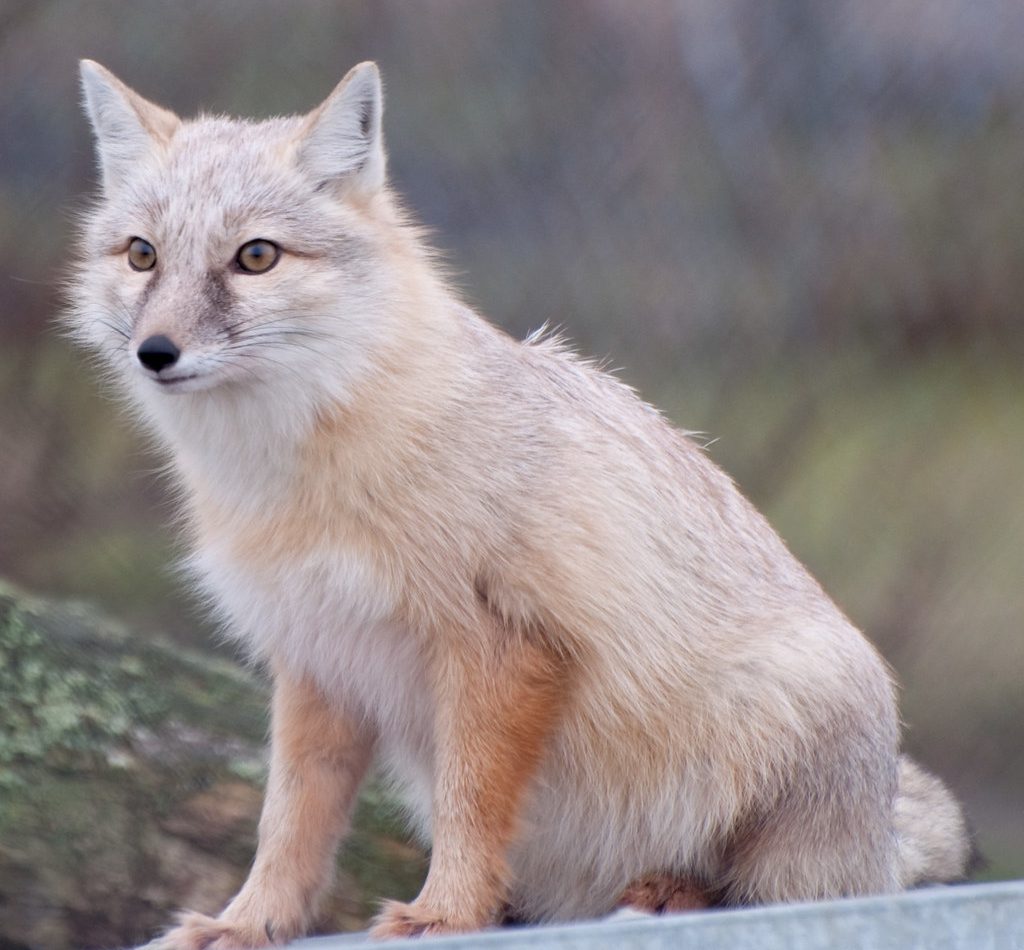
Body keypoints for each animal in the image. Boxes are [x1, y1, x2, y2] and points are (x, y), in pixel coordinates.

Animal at [69, 59, 973, 947]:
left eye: (255, 257)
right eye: (143, 255)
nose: (156, 352)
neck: (300, 477)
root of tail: (880, 834)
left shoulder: (502, 642)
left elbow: (470, 803)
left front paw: (445, 912)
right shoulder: (319, 657)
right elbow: (289, 819)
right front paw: (249, 922)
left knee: (762, 892)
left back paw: (668, 893)